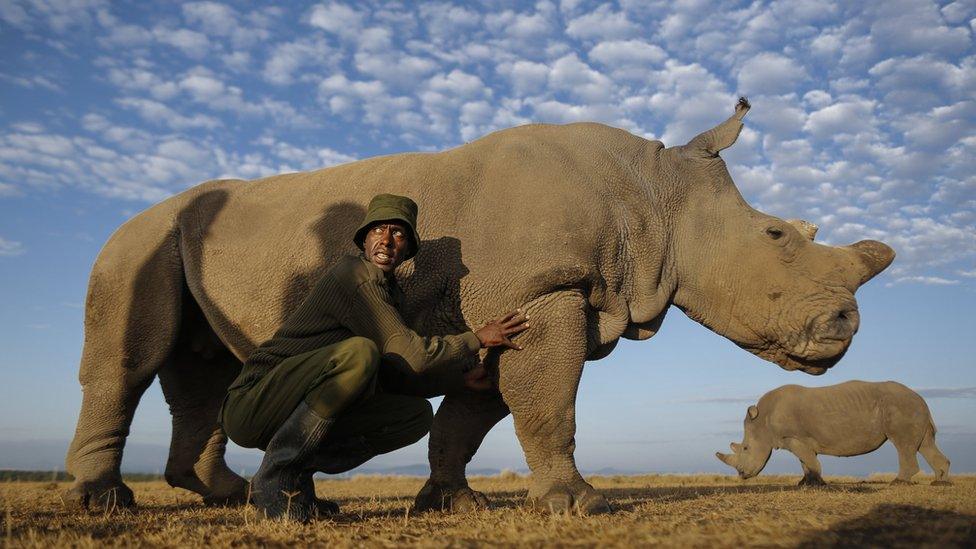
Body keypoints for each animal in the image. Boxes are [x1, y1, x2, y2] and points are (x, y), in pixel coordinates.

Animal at [65, 97, 896, 512]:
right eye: (776, 234)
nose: (848, 325)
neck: (657, 193)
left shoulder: (526, 304)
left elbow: (474, 414)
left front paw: (450, 502)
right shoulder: (545, 293)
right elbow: (550, 403)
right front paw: (579, 506)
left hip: (184, 241)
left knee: (199, 372)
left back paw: (230, 495)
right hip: (135, 241)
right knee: (128, 361)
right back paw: (109, 505)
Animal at [712, 382, 948, 484]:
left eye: (745, 448)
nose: (742, 475)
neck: (763, 422)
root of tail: (921, 398)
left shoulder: (794, 438)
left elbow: (810, 461)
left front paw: (816, 483)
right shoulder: (800, 440)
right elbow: (805, 462)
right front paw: (806, 483)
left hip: (901, 406)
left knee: (902, 444)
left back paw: (898, 482)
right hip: (912, 407)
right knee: (925, 444)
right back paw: (940, 482)